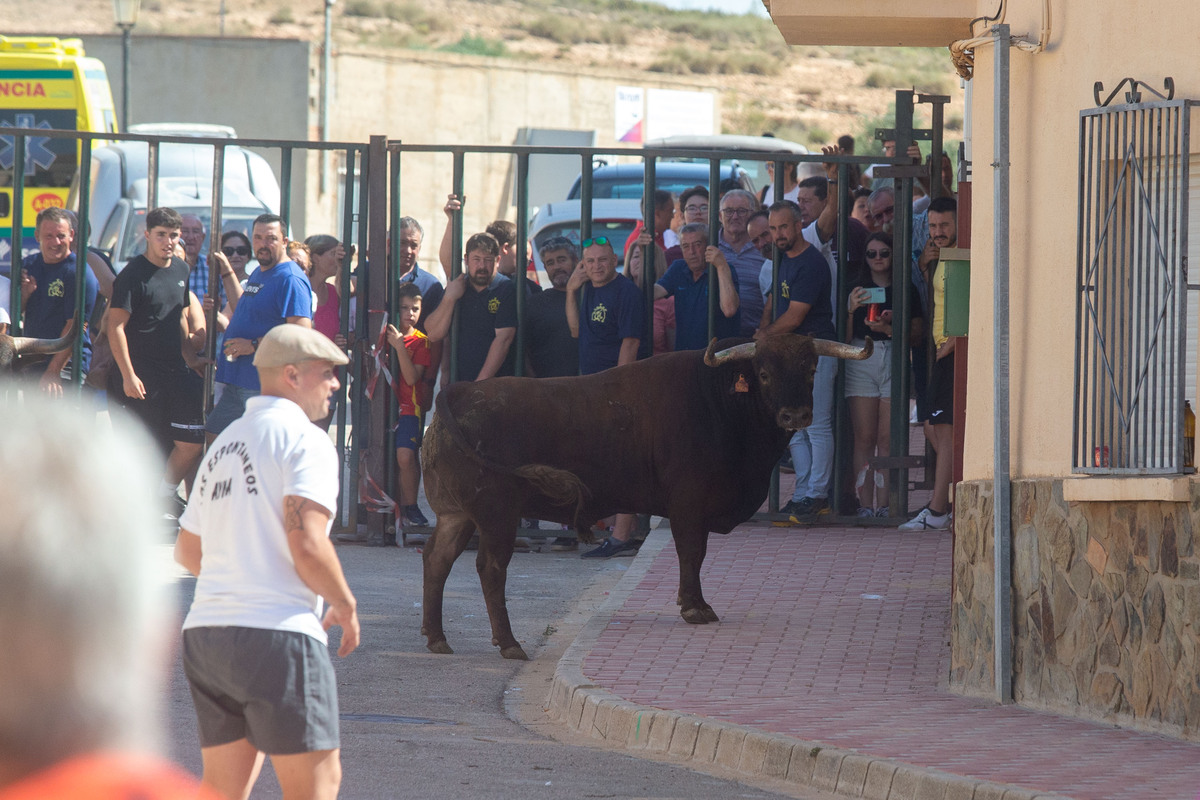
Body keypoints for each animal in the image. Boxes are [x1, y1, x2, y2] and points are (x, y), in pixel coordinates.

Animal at [422, 335, 873, 662]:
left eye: (810, 368)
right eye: (763, 373)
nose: (795, 415)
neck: (719, 401)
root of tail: (458, 393)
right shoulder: (689, 504)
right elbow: (692, 553)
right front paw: (694, 608)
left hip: (455, 515)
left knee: (437, 560)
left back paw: (436, 637)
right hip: (497, 515)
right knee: (490, 568)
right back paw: (510, 643)